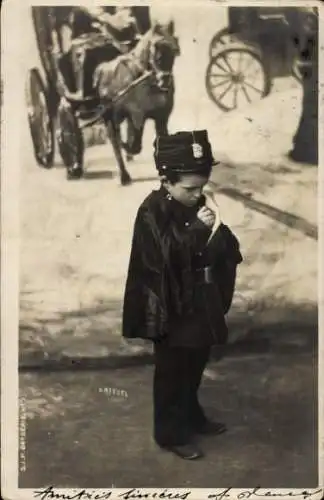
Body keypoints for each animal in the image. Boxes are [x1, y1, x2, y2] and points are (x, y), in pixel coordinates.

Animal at [67, 20, 181, 186]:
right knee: (113, 140)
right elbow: (134, 145)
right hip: (109, 115)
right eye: (155, 49)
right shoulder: (136, 114)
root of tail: (100, 70)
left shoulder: (161, 116)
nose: (165, 79)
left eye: (174, 49)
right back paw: (122, 174)